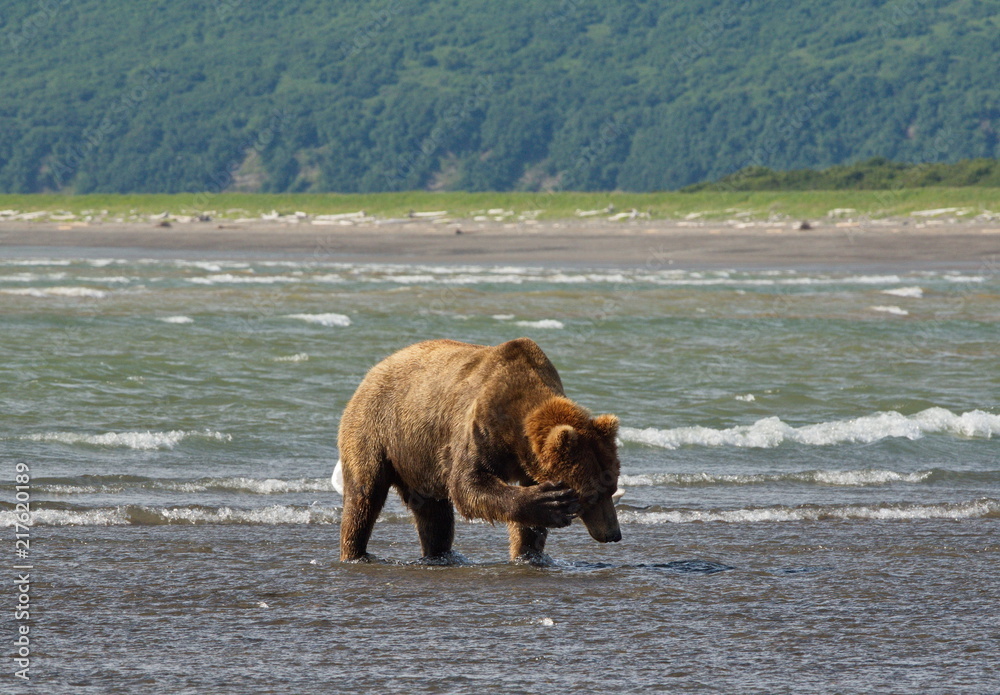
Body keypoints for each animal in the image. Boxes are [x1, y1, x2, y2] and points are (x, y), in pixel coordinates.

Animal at [337, 337, 622, 563]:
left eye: (612, 488)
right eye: (590, 495)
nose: (613, 534)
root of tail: (375, 369)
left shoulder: (529, 462)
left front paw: (528, 553)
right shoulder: (480, 424)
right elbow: (469, 482)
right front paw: (550, 504)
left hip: (420, 459)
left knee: (435, 514)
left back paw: (439, 554)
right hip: (375, 427)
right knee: (365, 495)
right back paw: (355, 553)